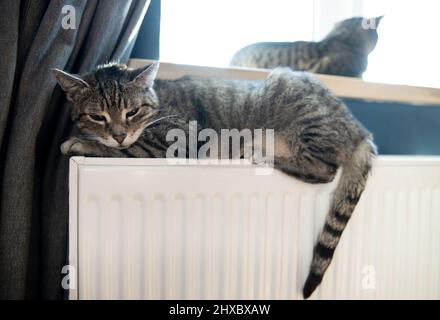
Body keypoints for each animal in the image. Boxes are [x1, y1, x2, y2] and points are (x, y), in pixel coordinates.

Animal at [50, 62, 374, 298]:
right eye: (97, 116)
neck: (159, 102)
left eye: (132, 111)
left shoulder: (173, 142)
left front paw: (81, 143)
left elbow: (127, 149)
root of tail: (359, 127)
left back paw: (260, 153)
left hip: (303, 119)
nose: (119, 133)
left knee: (323, 169)